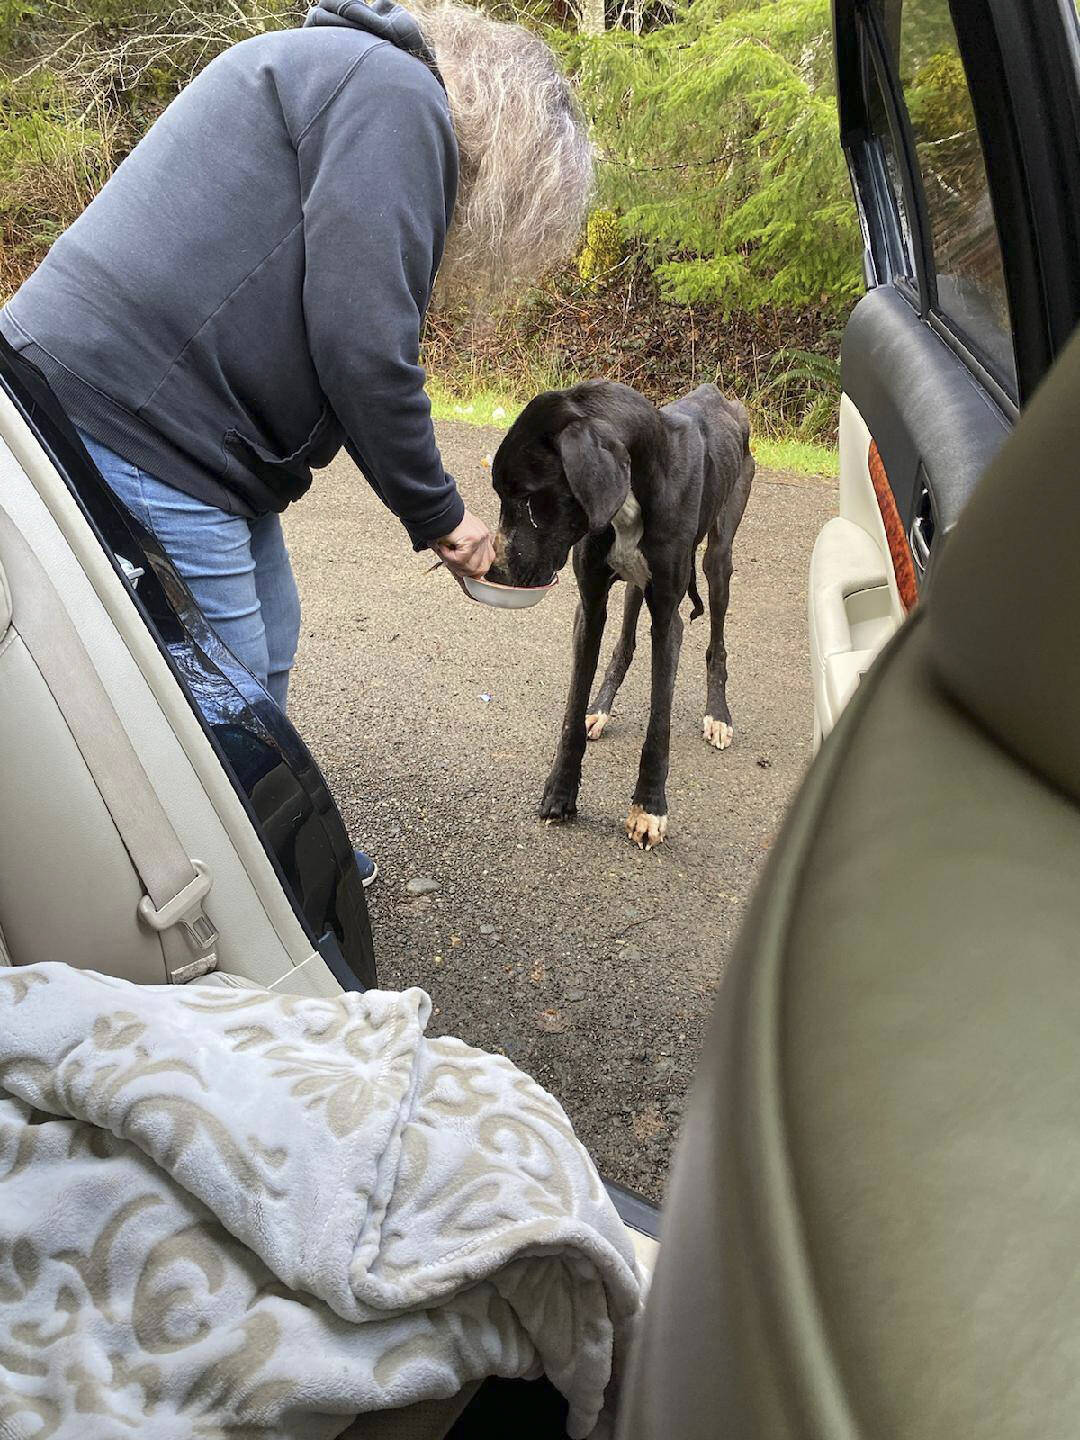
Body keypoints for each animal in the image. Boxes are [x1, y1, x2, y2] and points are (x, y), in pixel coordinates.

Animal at [489, 383, 754, 846]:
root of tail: (721, 396)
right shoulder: (591, 605)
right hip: (634, 582)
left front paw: (649, 809)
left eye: (527, 498)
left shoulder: (668, 620)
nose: (495, 573)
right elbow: (572, 710)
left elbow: (659, 724)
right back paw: (602, 707)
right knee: (625, 642)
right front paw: (560, 791)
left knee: (716, 640)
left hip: (719, 556)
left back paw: (718, 714)